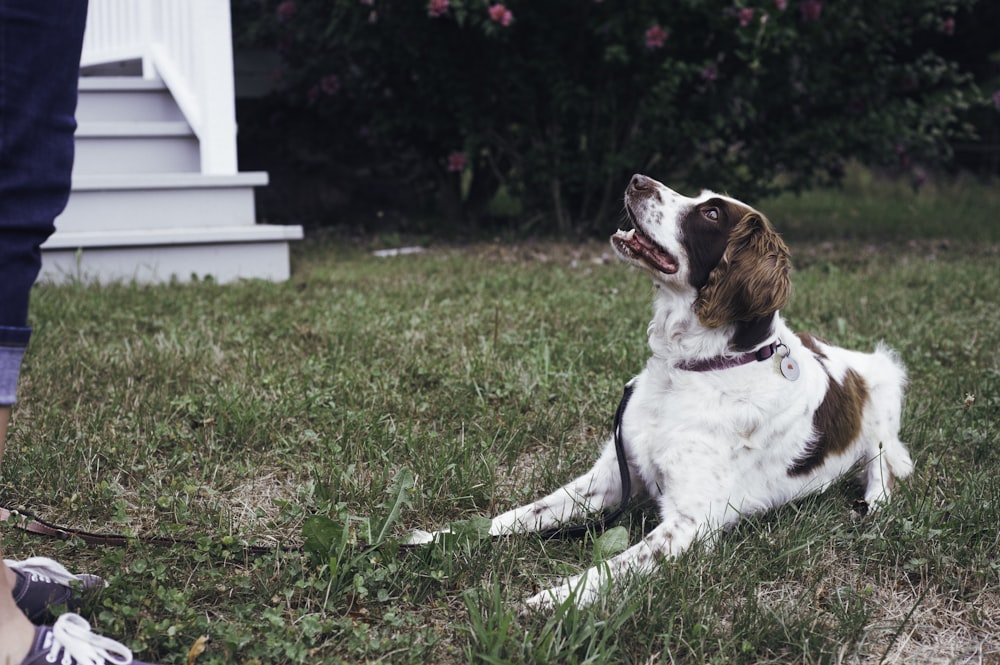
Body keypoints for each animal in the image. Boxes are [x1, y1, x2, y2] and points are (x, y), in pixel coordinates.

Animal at [410, 174, 912, 608]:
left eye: (711, 213)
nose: (636, 179)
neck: (691, 367)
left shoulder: (690, 523)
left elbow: (609, 567)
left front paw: (549, 602)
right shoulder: (612, 477)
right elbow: (520, 514)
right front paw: (437, 537)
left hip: (885, 399)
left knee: (885, 470)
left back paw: (870, 504)